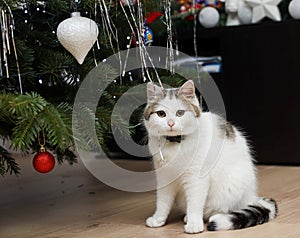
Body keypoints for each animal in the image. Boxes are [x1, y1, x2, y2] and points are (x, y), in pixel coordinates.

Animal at [144, 81, 278, 233]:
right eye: (161, 114)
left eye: (180, 113)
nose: (171, 123)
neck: (175, 144)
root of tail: (251, 196)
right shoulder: (164, 177)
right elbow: (162, 202)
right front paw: (158, 219)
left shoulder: (196, 179)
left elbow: (195, 203)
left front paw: (194, 224)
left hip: (229, 189)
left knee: (221, 209)